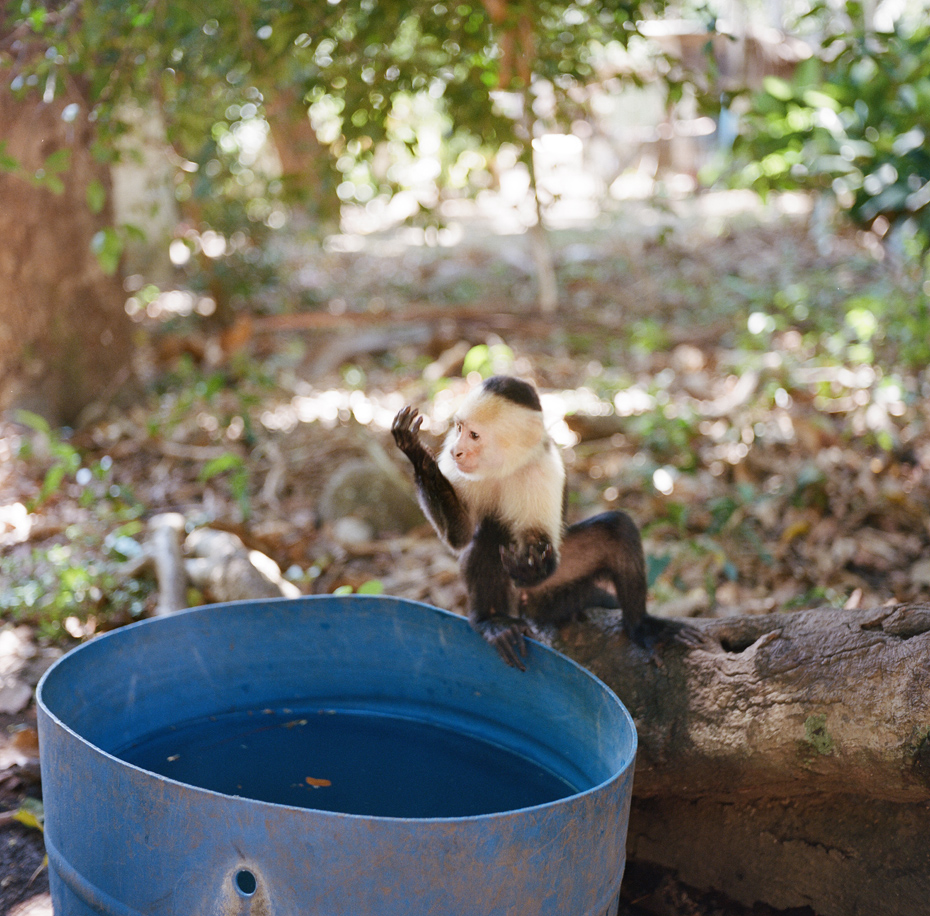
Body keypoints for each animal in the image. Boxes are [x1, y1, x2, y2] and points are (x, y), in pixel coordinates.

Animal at [390, 376, 696, 668]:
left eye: (474, 435)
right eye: (459, 428)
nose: (457, 451)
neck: (506, 466)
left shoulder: (544, 469)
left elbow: (541, 540)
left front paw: (532, 567)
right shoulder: (459, 470)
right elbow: (459, 536)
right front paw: (419, 456)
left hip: (553, 588)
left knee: (617, 529)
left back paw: (640, 626)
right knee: (490, 535)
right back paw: (492, 621)